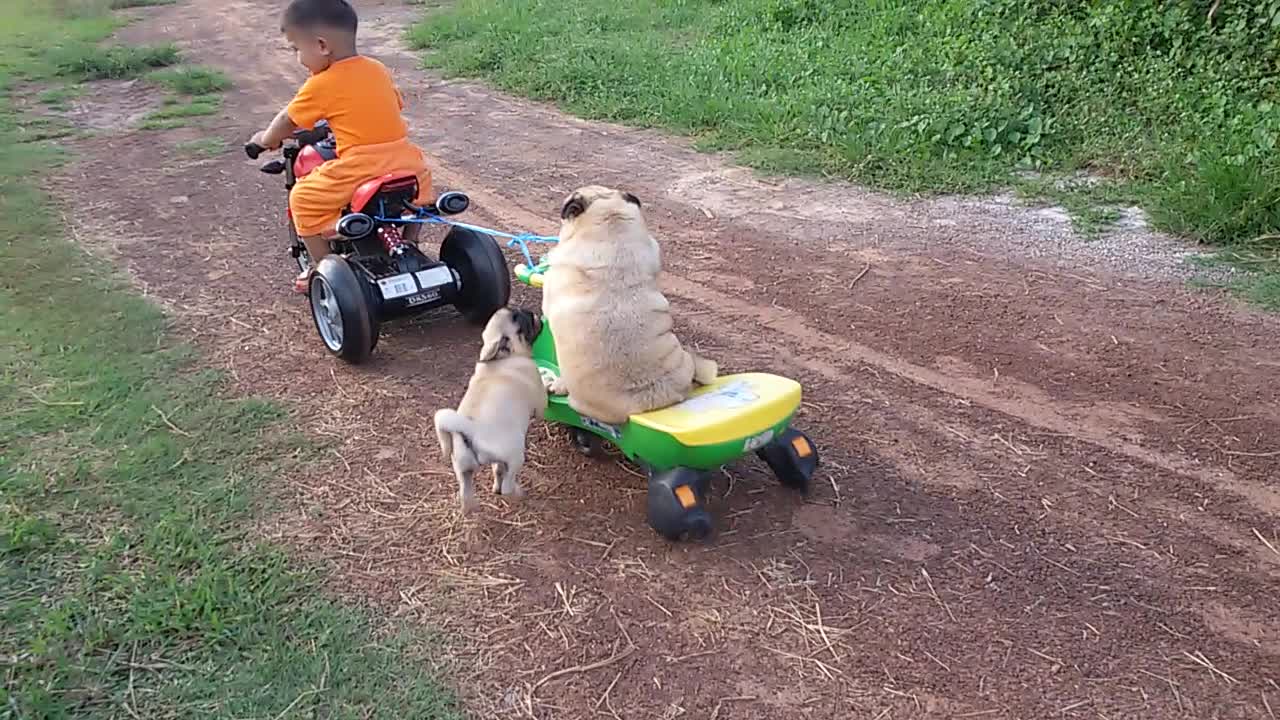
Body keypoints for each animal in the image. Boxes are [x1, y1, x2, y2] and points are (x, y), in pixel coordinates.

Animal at [435, 307, 545, 509]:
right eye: (520, 321)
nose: (528, 311)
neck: (503, 358)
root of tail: (470, 429)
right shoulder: (540, 399)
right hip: (516, 455)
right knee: (507, 483)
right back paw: (517, 493)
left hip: (463, 468)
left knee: (472, 487)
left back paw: (473, 505)